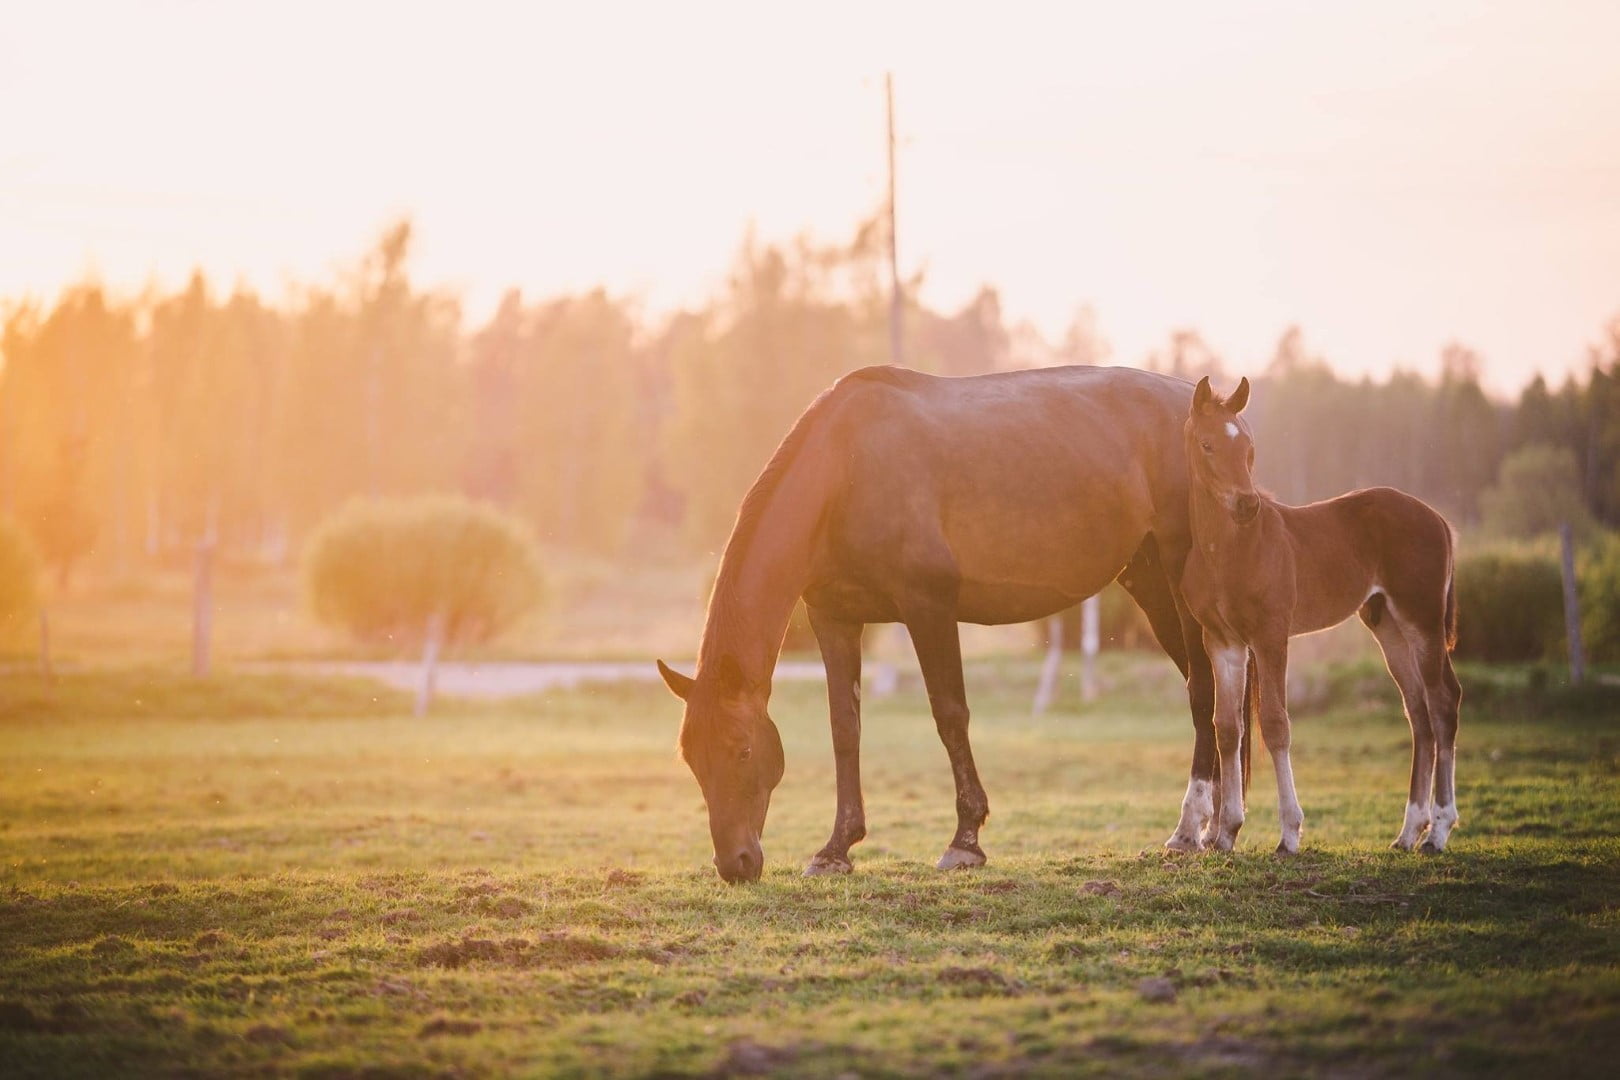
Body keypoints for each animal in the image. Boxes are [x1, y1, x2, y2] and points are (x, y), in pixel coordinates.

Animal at [654, 361, 1250, 880]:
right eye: (691, 758)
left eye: (743, 750)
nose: (735, 864)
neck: (846, 468)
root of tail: (1205, 407)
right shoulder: (834, 619)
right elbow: (845, 728)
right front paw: (836, 848)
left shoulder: (929, 607)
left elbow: (950, 716)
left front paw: (965, 841)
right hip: (1149, 582)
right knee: (1225, 696)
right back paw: (1220, 826)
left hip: (1179, 579)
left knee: (1205, 690)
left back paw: (1191, 829)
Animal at [1172, 375, 1464, 854]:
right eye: (1207, 444)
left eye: (1249, 447)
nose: (1247, 505)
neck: (1228, 549)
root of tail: (1438, 519)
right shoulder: (1222, 640)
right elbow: (1227, 727)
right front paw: (1227, 832)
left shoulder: (1271, 635)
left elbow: (1275, 724)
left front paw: (1289, 834)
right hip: (1387, 625)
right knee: (1417, 709)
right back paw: (1407, 832)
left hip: (1422, 619)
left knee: (1442, 702)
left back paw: (1437, 831)